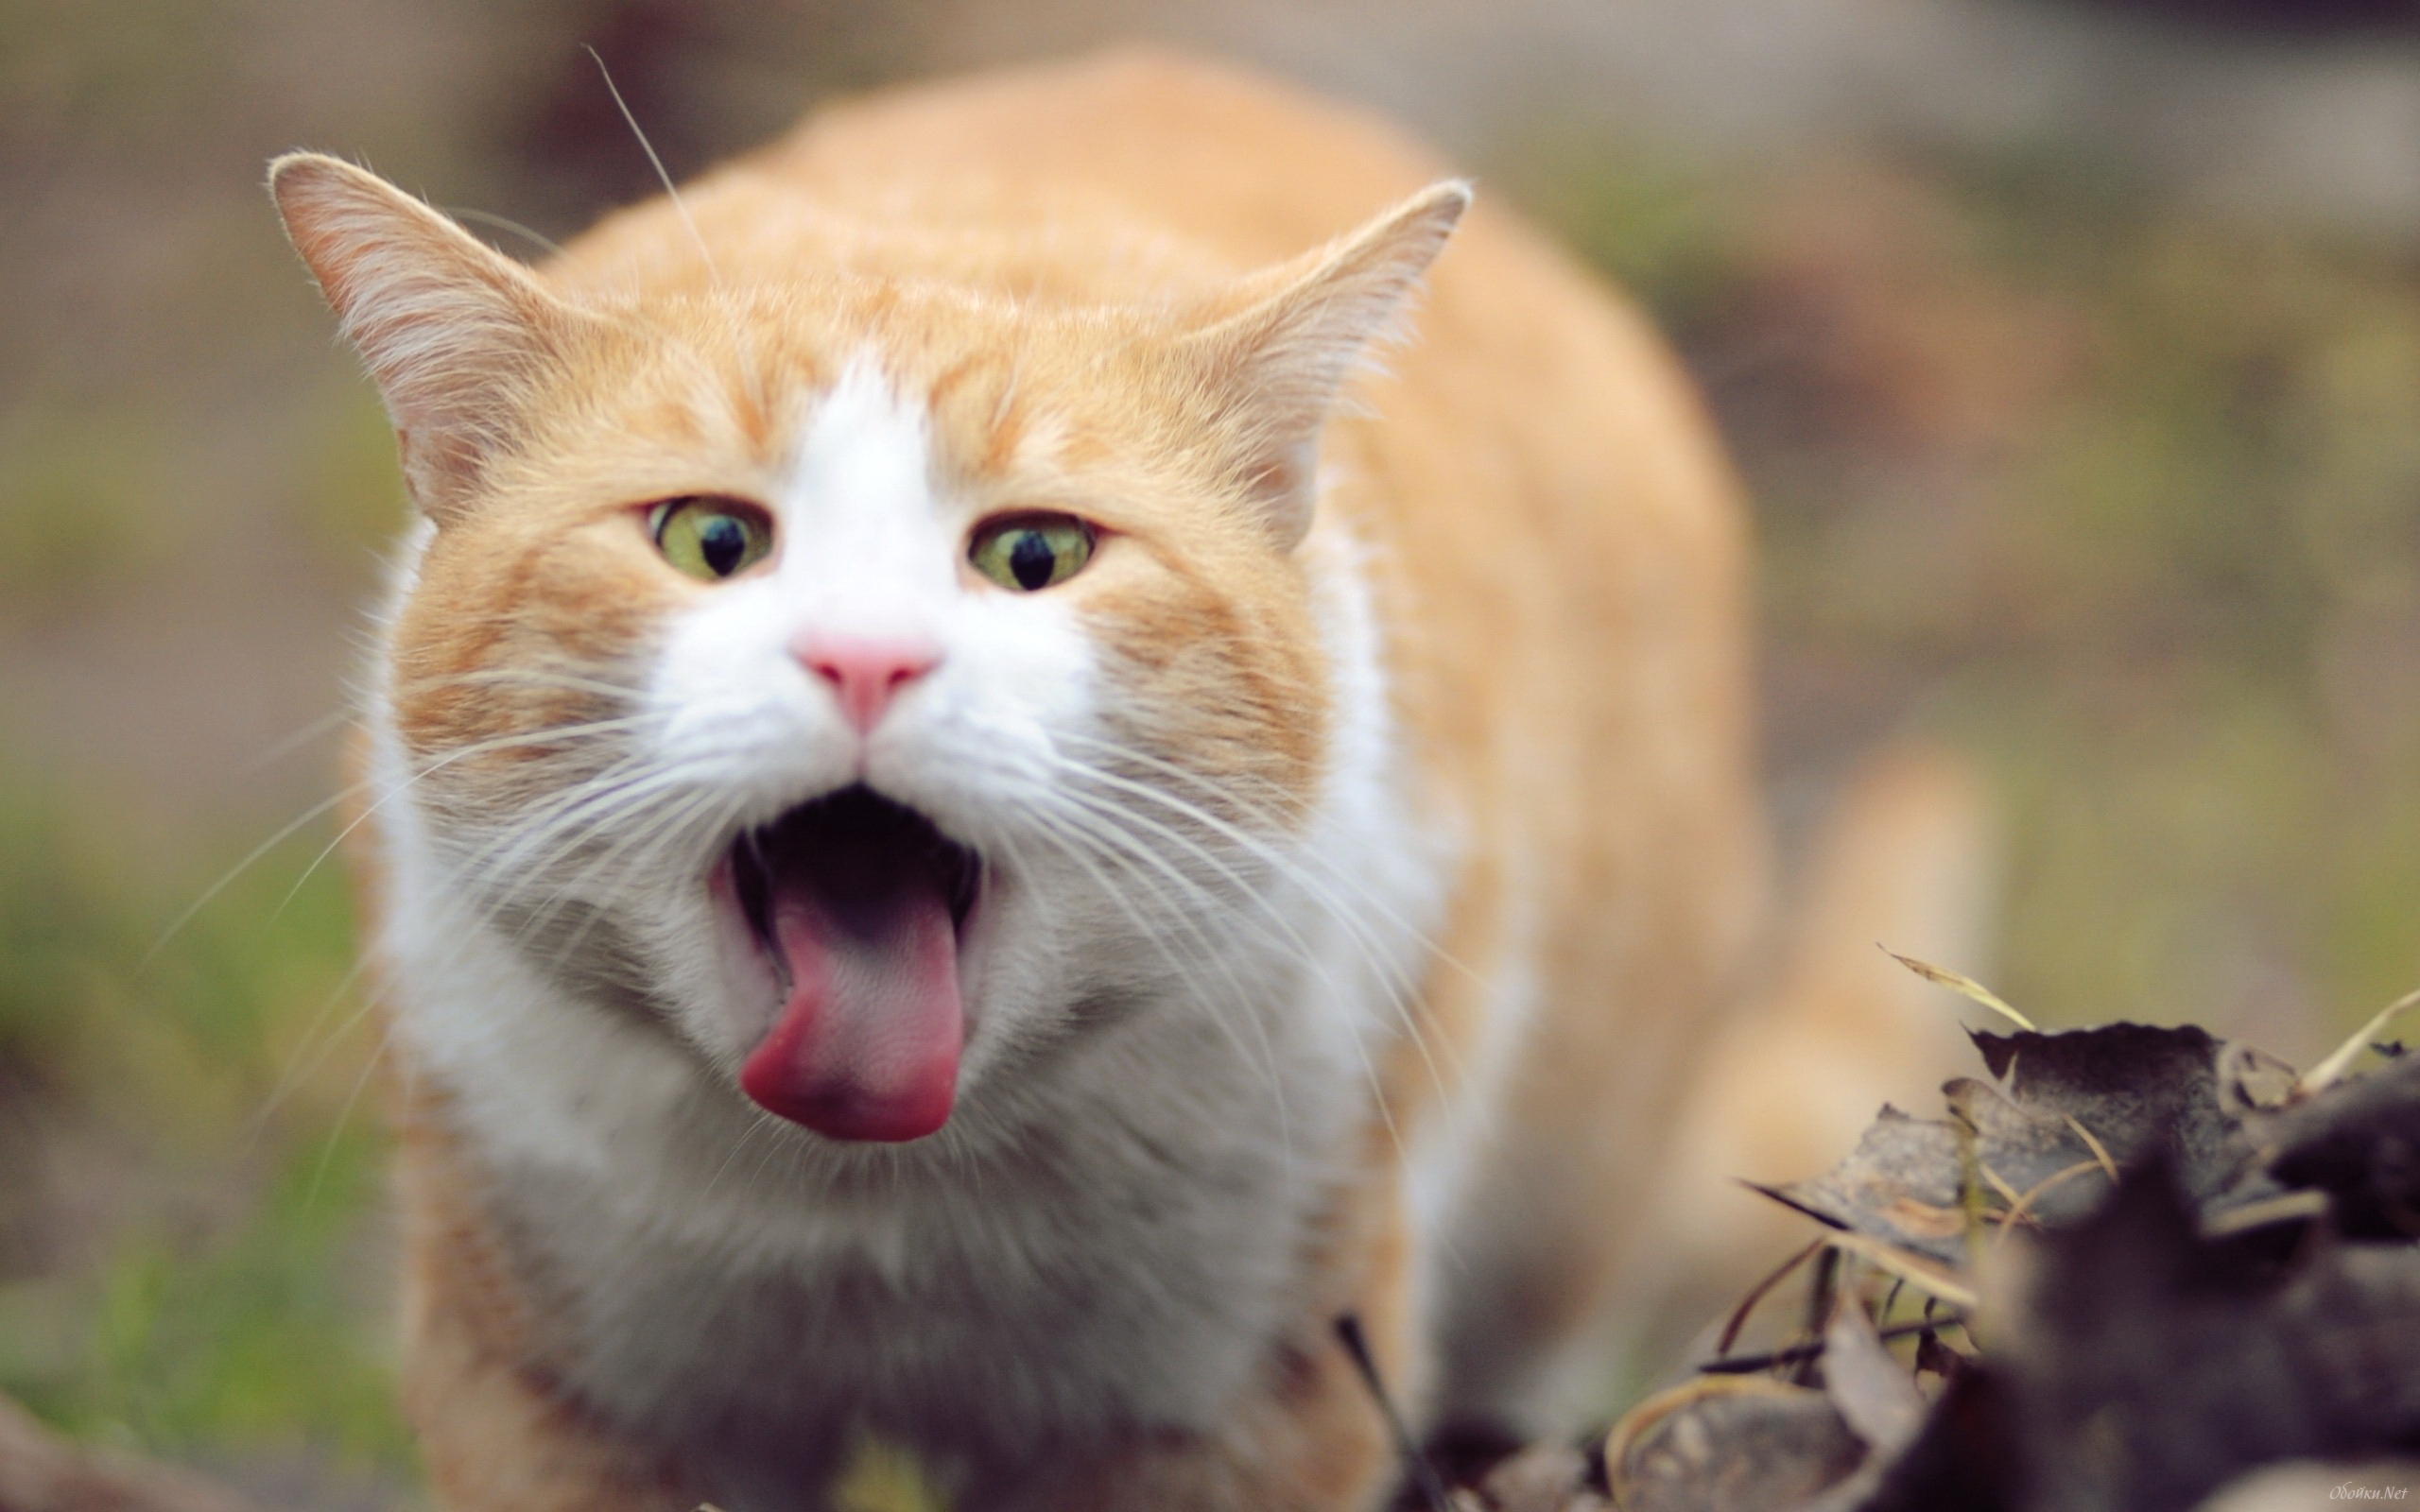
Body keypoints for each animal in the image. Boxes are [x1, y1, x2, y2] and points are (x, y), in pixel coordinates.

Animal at [274, 46, 1984, 1509]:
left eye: (1035, 556)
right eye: (710, 540)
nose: (865, 661)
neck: (872, 1209)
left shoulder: (1247, 1389)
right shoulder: (554, 1383)